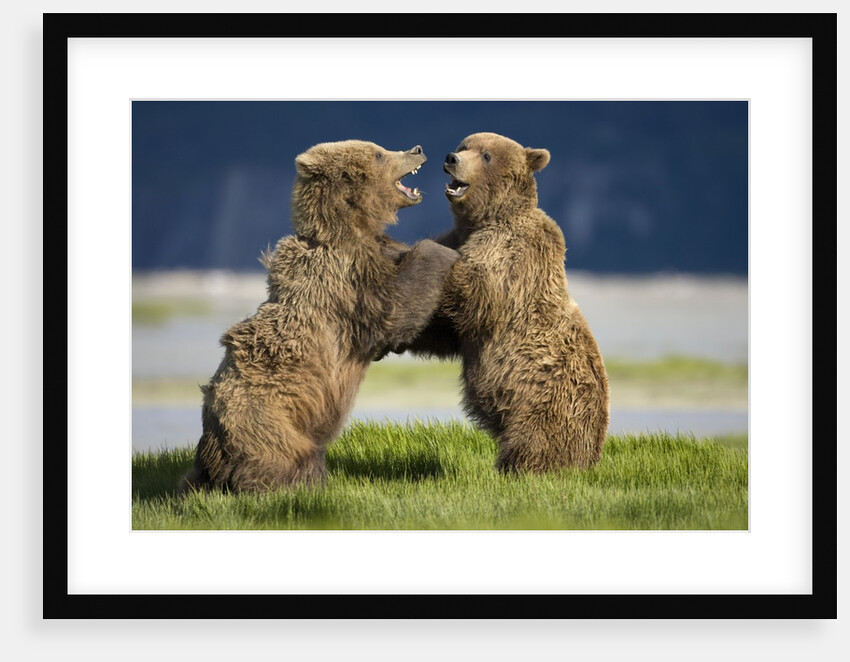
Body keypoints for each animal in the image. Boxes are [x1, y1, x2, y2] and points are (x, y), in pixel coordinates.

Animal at [178, 140, 459, 494]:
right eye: (380, 154)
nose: (417, 149)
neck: (349, 230)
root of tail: (214, 448)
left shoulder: (375, 254)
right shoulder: (346, 281)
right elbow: (396, 307)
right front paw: (446, 250)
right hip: (268, 422)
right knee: (290, 459)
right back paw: (301, 484)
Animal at [398, 132, 610, 472]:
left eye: (486, 155)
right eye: (464, 146)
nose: (451, 159)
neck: (484, 220)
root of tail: (594, 453)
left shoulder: (511, 255)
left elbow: (476, 295)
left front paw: (425, 252)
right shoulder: (463, 237)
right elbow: (448, 329)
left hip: (544, 403)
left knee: (534, 444)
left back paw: (517, 468)